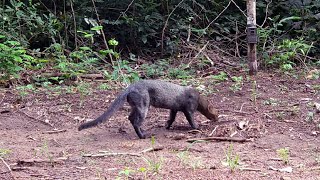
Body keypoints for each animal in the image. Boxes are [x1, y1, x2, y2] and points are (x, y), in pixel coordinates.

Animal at [79, 79, 219, 139]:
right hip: (143, 105)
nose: (217, 119)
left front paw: (167, 126)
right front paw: (197, 127)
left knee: (130, 118)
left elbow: (171, 118)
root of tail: (130, 87)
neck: (199, 98)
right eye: (217, 113)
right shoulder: (189, 108)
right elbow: (190, 119)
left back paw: (143, 131)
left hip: (136, 105)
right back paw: (143, 136)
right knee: (135, 121)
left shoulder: (174, 108)